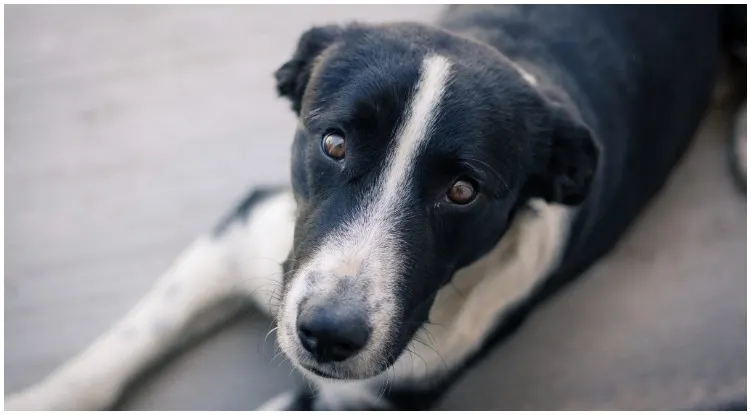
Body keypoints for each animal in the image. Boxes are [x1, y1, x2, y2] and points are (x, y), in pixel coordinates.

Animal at [5, 4, 748, 412]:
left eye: (461, 191)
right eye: (333, 143)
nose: (328, 335)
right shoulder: (240, 234)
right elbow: (127, 341)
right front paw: (39, 399)